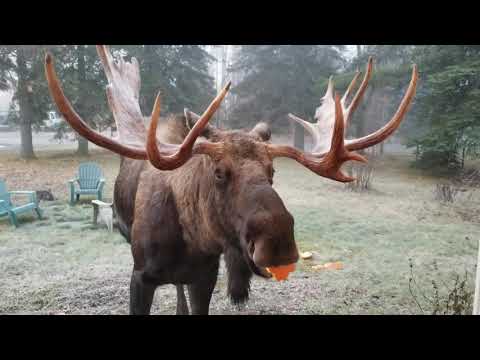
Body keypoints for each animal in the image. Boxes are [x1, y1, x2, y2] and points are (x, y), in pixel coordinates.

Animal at [46, 45, 420, 316]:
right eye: (218, 172)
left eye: (272, 172)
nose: (279, 242)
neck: (192, 241)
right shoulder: (140, 277)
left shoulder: (205, 276)